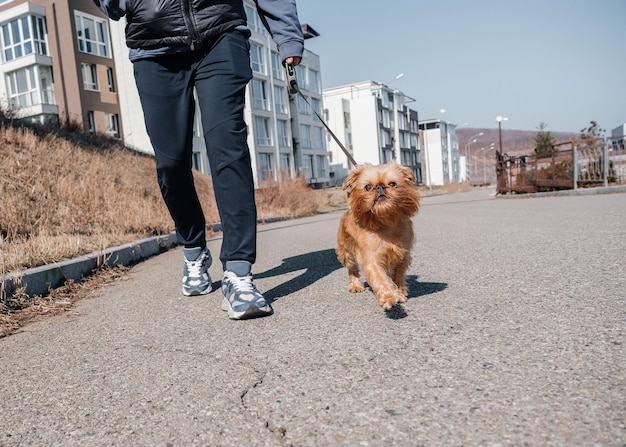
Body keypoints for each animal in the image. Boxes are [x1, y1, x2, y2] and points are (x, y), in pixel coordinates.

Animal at [336, 163, 420, 310]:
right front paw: (389, 297)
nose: (380, 186)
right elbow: (380, 279)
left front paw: (400, 293)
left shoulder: (402, 257)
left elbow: (398, 277)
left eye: (392, 184)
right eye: (368, 187)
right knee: (352, 270)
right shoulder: (372, 260)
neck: (385, 222)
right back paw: (355, 285)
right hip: (346, 254)